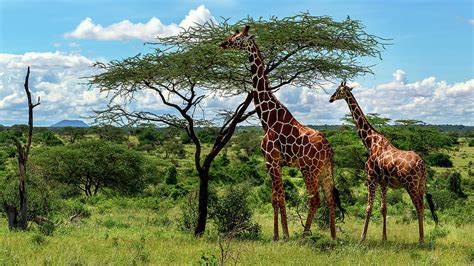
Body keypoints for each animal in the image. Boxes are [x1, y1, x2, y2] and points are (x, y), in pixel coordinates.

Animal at [220, 25, 342, 241]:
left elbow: (280, 198)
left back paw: (304, 236)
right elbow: (274, 198)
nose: (223, 43)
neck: (267, 119)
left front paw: (283, 236)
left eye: (238, 38)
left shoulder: (272, 161)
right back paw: (333, 237)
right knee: (329, 198)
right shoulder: (272, 163)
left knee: (315, 200)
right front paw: (277, 235)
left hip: (308, 169)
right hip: (325, 169)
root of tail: (328, 147)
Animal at [330, 81, 436, 243]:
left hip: (411, 184)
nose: (330, 98)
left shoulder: (371, 177)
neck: (370, 141)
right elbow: (383, 208)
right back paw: (421, 238)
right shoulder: (383, 182)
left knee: (418, 206)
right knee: (423, 206)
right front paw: (384, 238)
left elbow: (368, 207)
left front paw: (362, 238)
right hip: (421, 184)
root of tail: (422, 165)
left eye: (338, 90)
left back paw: (421, 240)